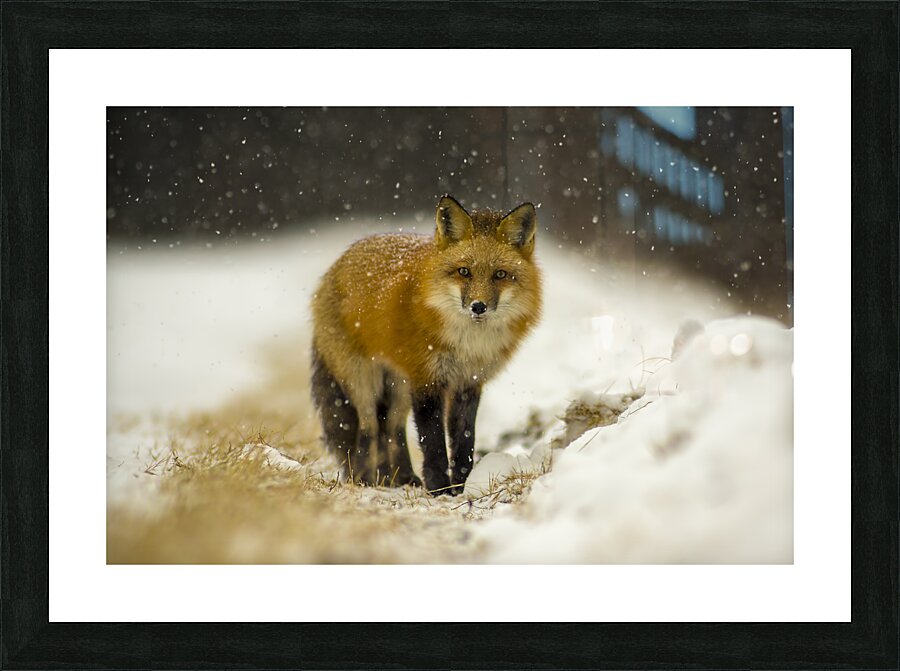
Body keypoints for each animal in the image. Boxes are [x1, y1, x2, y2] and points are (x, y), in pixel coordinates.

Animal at [310, 195, 542, 495]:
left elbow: (464, 440)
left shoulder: (468, 383)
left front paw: (462, 485)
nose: (478, 306)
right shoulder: (426, 380)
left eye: (500, 274)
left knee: (392, 428)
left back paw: (398, 477)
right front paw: (438, 487)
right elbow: (432, 441)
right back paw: (363, 479)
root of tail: (336, 264)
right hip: (365, 379)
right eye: (464, 272)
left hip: (398, 385)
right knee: (368, 427)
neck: (468, 345)